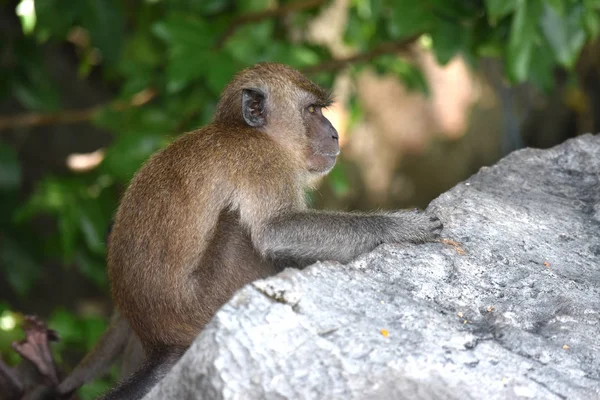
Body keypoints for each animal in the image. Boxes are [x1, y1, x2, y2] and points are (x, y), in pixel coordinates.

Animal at [99, 62, 440, 396]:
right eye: (312, 110)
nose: (334, 134)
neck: (249, 131)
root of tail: (160, 340)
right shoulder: (262, 161)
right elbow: (276, 230)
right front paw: (401, 225)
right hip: (208, 300)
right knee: (238, 227)